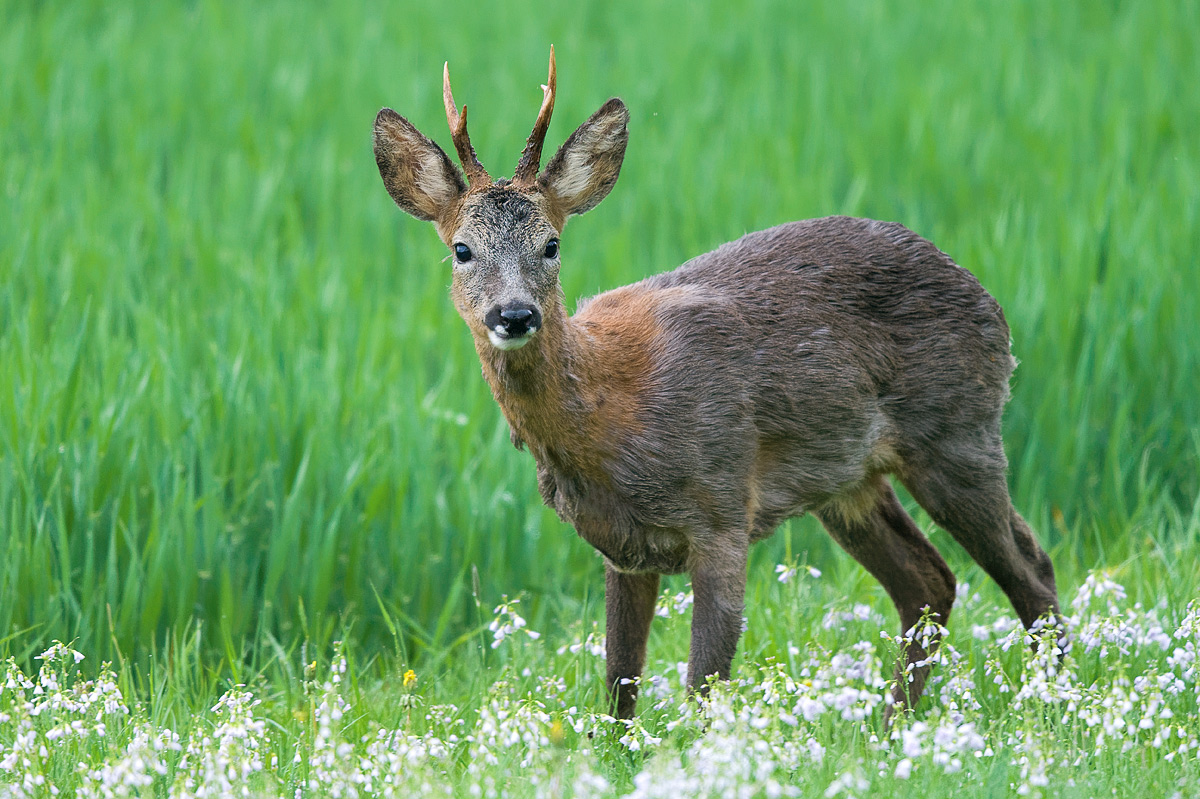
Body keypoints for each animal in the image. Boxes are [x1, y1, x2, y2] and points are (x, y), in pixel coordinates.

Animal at [372, 48, 1060, 715]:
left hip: (958, 432)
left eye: (551, 245)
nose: (514, 315)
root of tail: (989, 301)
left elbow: (703, 687)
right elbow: (618, 691)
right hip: (850, 482)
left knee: (1032, 569)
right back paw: (894, 727)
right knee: (929, 582)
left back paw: (1046, 705)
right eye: (462, 249)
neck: (608, 420)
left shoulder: (723, 509)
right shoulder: (620, 549)